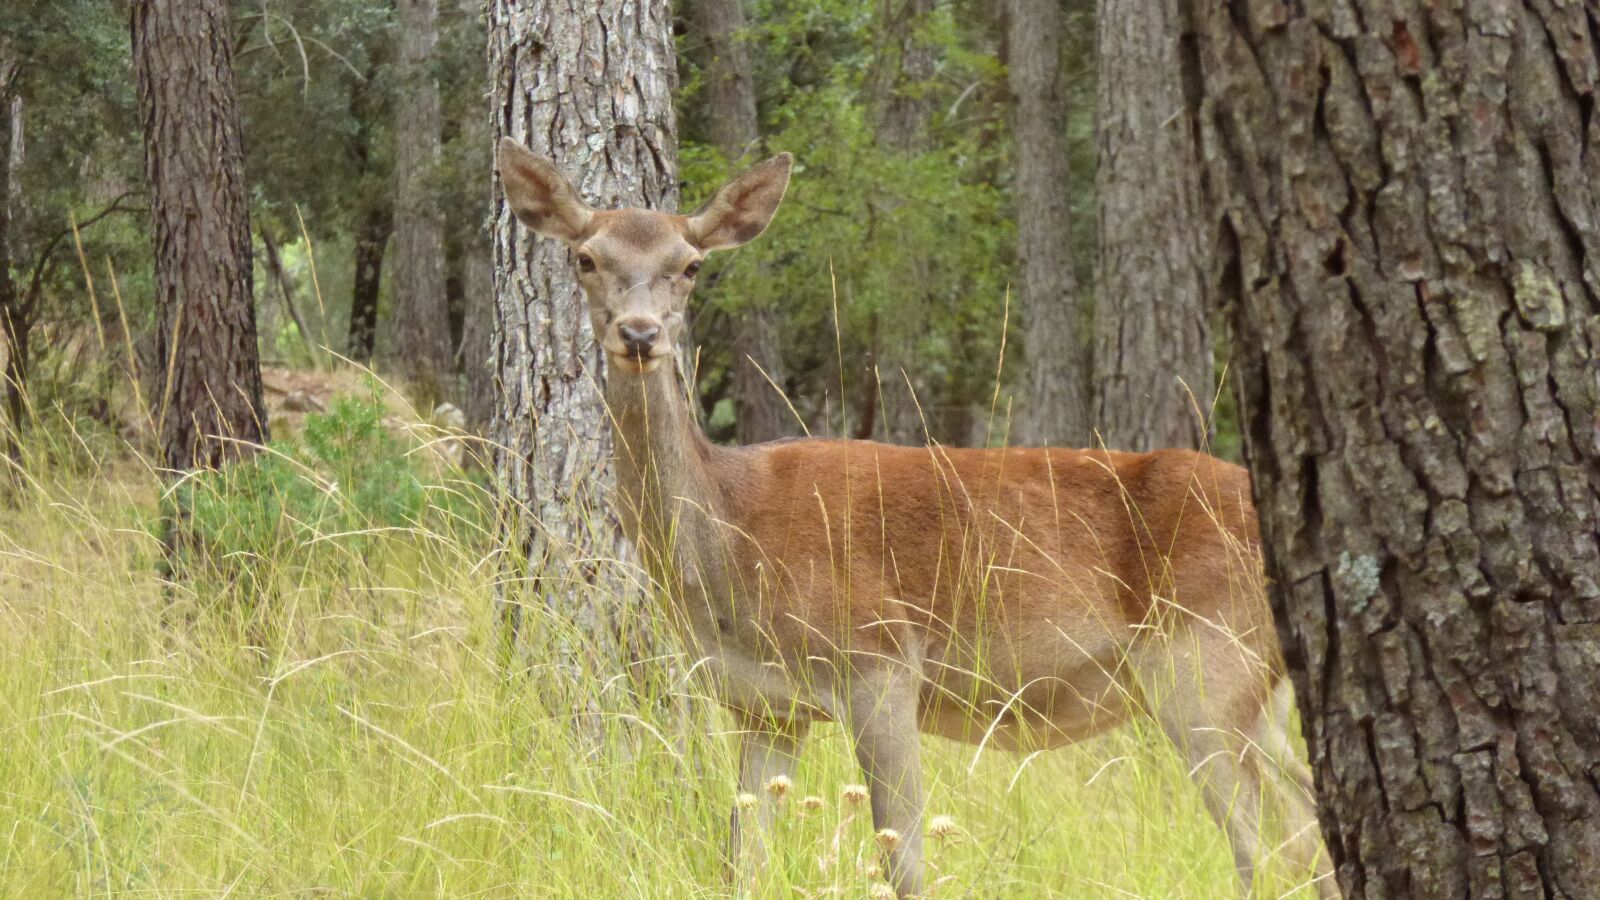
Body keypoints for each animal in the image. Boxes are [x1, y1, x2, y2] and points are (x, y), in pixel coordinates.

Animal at [496, 134, 1337, 896]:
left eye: (691, 265)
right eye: (585, 258)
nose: (639, 335)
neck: (733, 543)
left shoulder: (880, 661)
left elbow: (903, 860)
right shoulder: (762, 706)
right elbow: (742, 860)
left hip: (1202, 665)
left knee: (1265, 849)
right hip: (1255, 690)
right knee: (1308, 830)